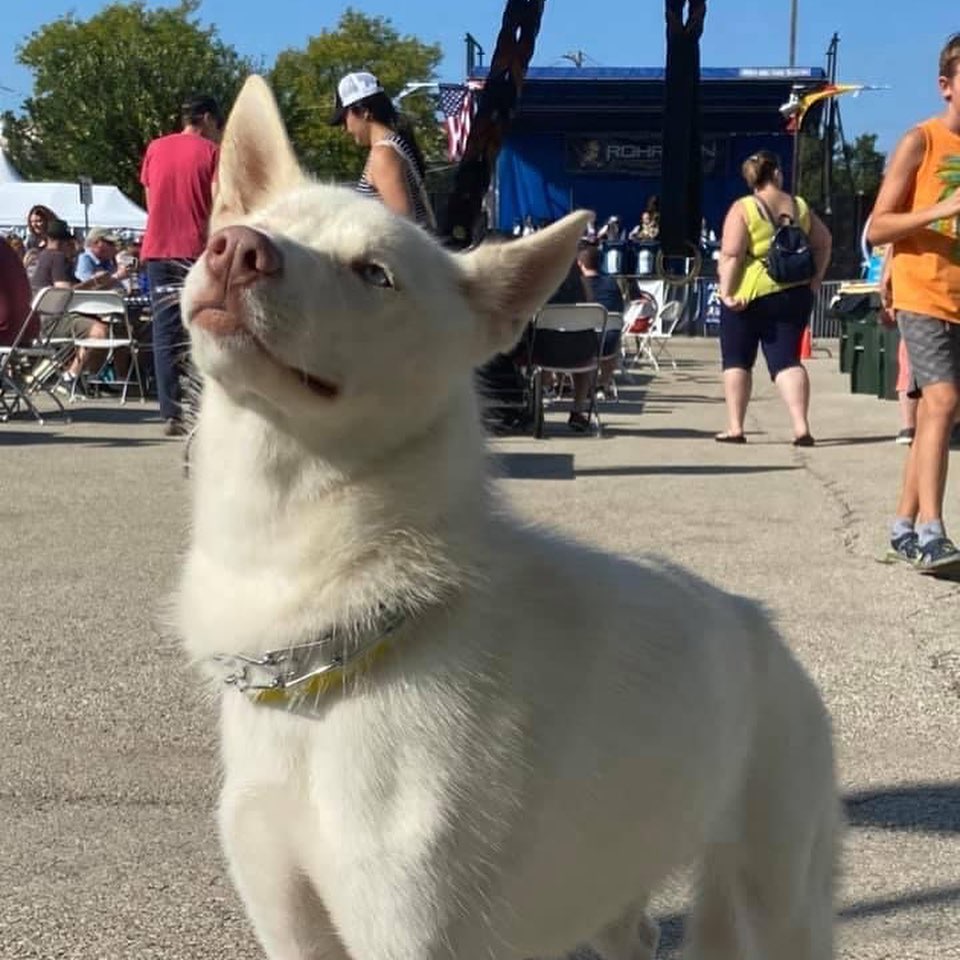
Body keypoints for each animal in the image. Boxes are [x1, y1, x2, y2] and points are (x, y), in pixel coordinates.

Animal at [180, 77, 840, 960]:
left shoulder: (411, 937)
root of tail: (763, 629)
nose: (237, 249)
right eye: (266, 227)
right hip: (607, 894)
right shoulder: (291, 931)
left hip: (779, 909)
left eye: (375, 273)